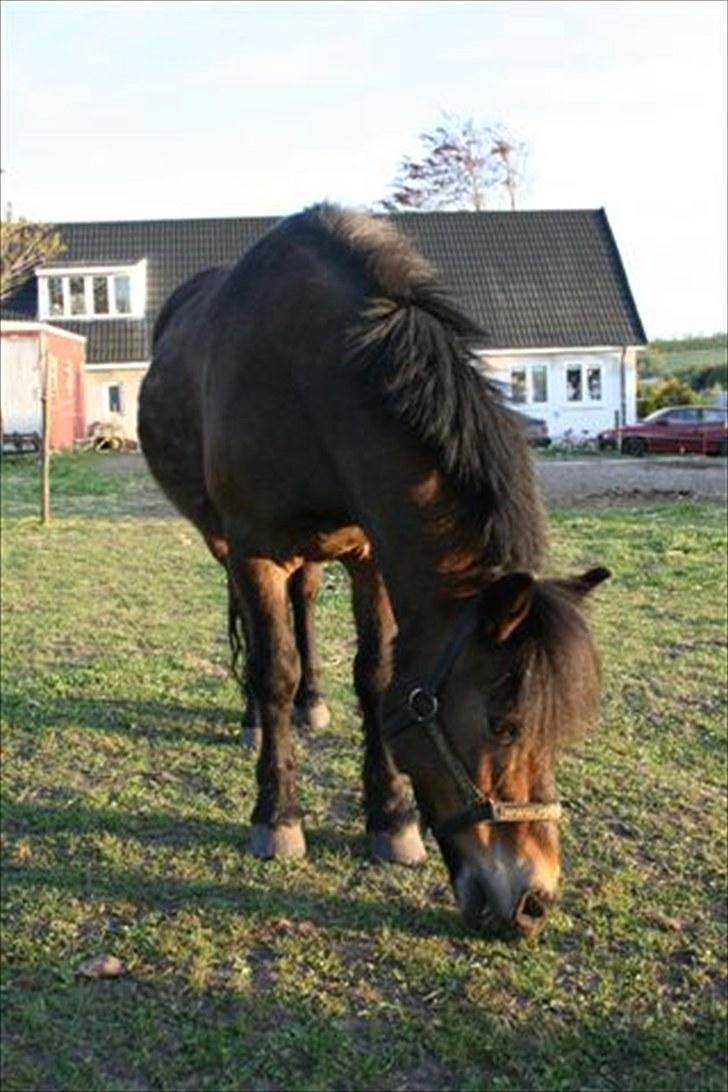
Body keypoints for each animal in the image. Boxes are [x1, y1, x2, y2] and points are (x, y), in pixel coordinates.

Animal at [138, 206, 611, 939]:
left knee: (304, 604)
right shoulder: (253, 551)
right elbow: (273, 670)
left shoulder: (370, 555)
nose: (534, 901)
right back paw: (254, 722)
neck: (308, 379)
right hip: (224, 544)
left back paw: (312, 705)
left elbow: (377, 676)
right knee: (253, 637)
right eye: (503, 724)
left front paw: (390, 819)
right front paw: (278, 816)